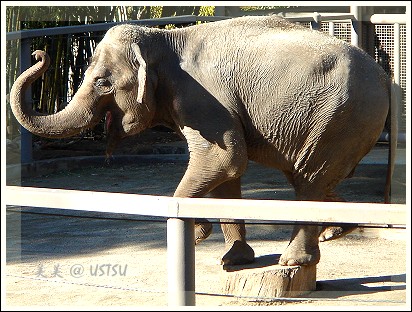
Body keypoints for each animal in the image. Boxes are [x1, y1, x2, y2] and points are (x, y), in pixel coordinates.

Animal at [9, 15, 392, 266]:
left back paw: (293, 260)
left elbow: (224, 160)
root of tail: (384, 77)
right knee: (306, 174)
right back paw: (337, 228)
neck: (163, 38)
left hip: (340, 116)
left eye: (103, 82)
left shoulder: (202, 99)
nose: (39, 54)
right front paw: (234, 260)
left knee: (309, 178)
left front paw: (194, 231)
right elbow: (229, 171)